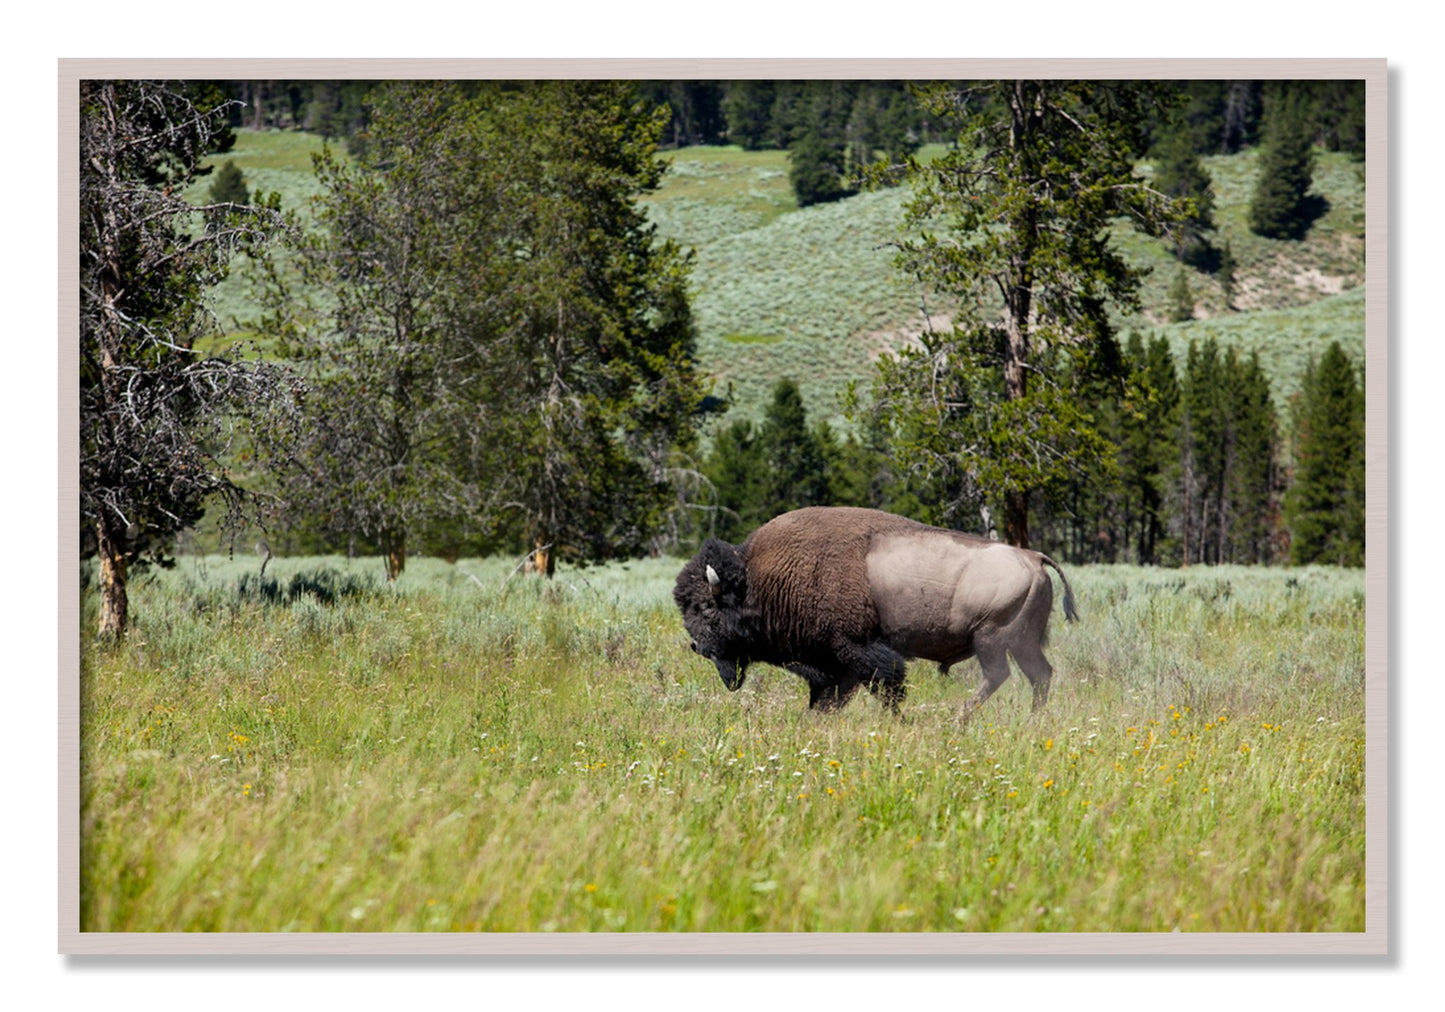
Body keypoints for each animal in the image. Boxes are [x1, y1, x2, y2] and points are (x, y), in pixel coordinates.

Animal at [674, 506, 1077, 717]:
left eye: (707, 609)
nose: (698, 647)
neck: (759, 579)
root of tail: (1033, 557)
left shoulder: (857, 650)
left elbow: (886, 686)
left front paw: (897, 720)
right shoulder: (833, 665)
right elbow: (829, 698)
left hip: (991, 638)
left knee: (999, 675)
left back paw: (958, 719)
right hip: (1022, 642)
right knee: (1039, 675)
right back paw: (1031, 719)